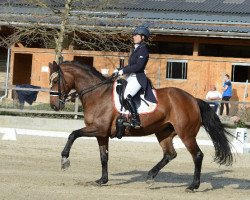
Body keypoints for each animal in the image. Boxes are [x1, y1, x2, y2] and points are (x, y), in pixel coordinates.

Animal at [49, 61, 234, 192]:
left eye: (56, 80)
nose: (54, 105)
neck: (97, 94)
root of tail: (193, 99)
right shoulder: (102, 134)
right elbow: (104, 157)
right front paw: (102, 180)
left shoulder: (98, 129)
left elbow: (73, 134)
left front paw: (65, 160)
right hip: (164, 133)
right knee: (170, 154)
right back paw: (150, 177)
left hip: (186, 134)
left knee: (197, 155)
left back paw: (193, 186)